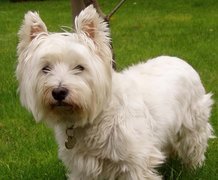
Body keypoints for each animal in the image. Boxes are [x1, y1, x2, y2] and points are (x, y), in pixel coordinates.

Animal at [16, 5, 214, 180]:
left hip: (193, 123)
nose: (58, 92)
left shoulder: (135, 162)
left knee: (195, 146)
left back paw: (193, 169)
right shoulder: (83, 167)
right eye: (45, 68)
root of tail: (180, 60)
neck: (95, 118)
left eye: (80, 67)